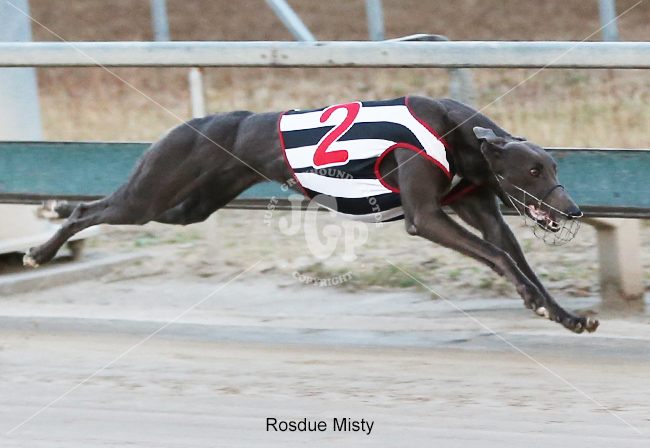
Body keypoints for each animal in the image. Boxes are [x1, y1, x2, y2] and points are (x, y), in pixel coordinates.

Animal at [24, 96, 598, 334]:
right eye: (533, 172)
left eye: (554, 167)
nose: (573, 210)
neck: (457, 134)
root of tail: (191, 123)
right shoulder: (426, 217)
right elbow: (499, 257)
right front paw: (535, 303)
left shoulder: (487, 213)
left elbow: (515, 255)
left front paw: (564, 315)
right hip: (153, 192)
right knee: (94, 209)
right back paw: (40, 250)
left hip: (186, 208)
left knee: (94, 207)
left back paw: (53, 206)